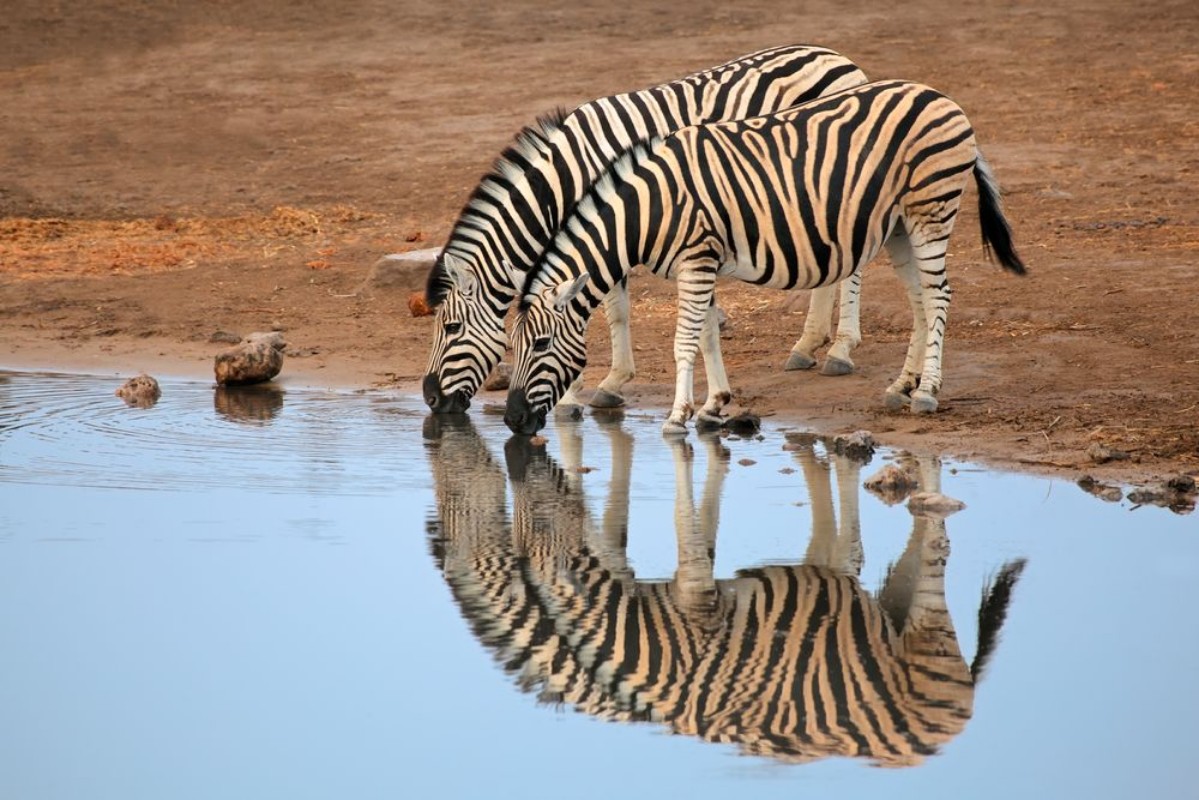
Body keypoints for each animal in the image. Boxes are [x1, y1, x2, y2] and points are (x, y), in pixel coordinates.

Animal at [422, 44, 871, 415]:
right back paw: (807, 345)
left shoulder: (609, 223)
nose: (429, 398)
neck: (565, 180)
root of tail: (839, 58)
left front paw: (585, 391)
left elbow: (611, 310)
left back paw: (840, 350)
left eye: (450, 328)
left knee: (853, 268)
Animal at [503, 79, 1027, 437]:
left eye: (542, 345)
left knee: (939, 297)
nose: (511, 420)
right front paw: (714, 405)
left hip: (930, 210)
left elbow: (684, 341)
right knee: (920, 301)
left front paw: (677, 415)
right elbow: (709, 334)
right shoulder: (702, 263)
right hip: (899, 226)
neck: (649, 207)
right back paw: (902, 386)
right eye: (512, 345)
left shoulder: (696, 259)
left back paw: (927, 393)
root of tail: (940, 95)